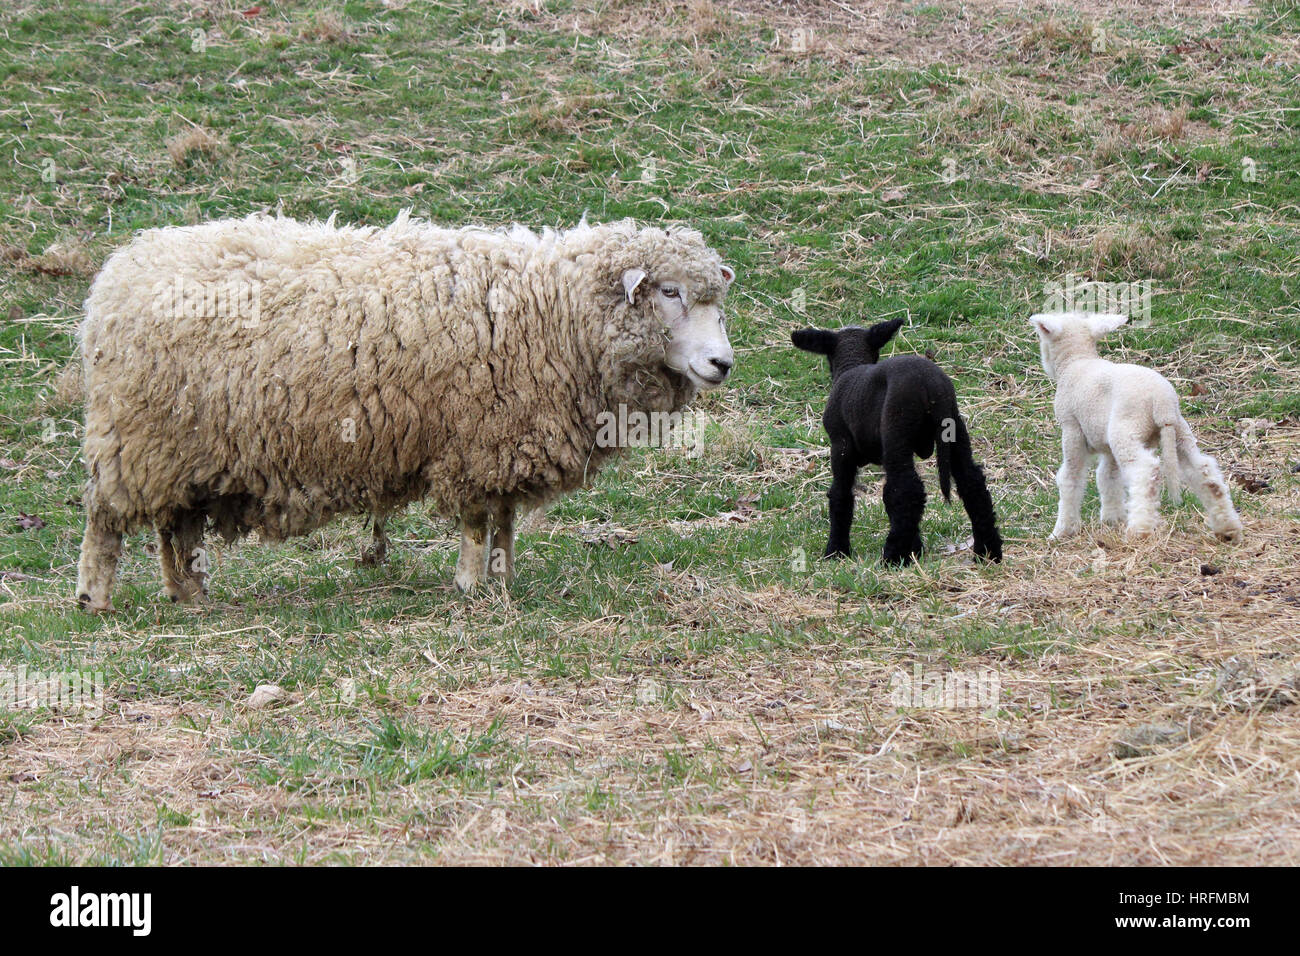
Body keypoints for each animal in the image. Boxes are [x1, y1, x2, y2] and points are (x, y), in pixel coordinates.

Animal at [76, 212, 738, 608]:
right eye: (670, 291)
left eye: (716, 300)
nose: (722, 363)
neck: (555, 309)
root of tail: (120, 273)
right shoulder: (475, 438)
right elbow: (475, 521)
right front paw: (470, 586)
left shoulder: (504, 439)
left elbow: (504, 522)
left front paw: (503, 579)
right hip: (135, 439)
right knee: (106, 522)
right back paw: (96, 599)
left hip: (182, 450)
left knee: (175, 526)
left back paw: (187, 593)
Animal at [790, 317, 1003, 564]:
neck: (851, 364)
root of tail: (932, 386)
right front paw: (916, 550)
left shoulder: (840, 445)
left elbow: (840, 495)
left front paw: (836, 551)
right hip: (956, 430)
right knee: (972, 483)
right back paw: (987, 552)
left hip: (897, 429)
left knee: (906, 489)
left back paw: (892, 557)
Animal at [1029, 310, 1242, 541]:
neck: (1076, 361)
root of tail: (1162, 401)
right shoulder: (1108, 447)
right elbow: (1108, 477)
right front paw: (1112, 519)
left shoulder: (1071, 428)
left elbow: (1070, 477)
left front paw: (1063, 530)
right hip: (1177, 431)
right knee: (1203, 470)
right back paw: (1227, 527)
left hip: (1125, 430)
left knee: (1145, 471)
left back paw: (1139, 530)